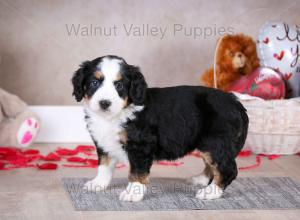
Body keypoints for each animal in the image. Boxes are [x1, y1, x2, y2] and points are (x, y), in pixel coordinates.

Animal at [71, 54, 248, 201]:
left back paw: (211, 192)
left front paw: (133, 192)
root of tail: (235, 102)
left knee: (227, 168)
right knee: (213, 165)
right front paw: (98, 183)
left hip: (215, 141)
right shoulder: (103, 142)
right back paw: (200, 180)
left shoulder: (141, 146)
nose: (104, 103)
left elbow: (137, 172)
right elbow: (104, 165)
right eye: (94, 82)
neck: (115, 115)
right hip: (209, 143)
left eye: (119, 85)